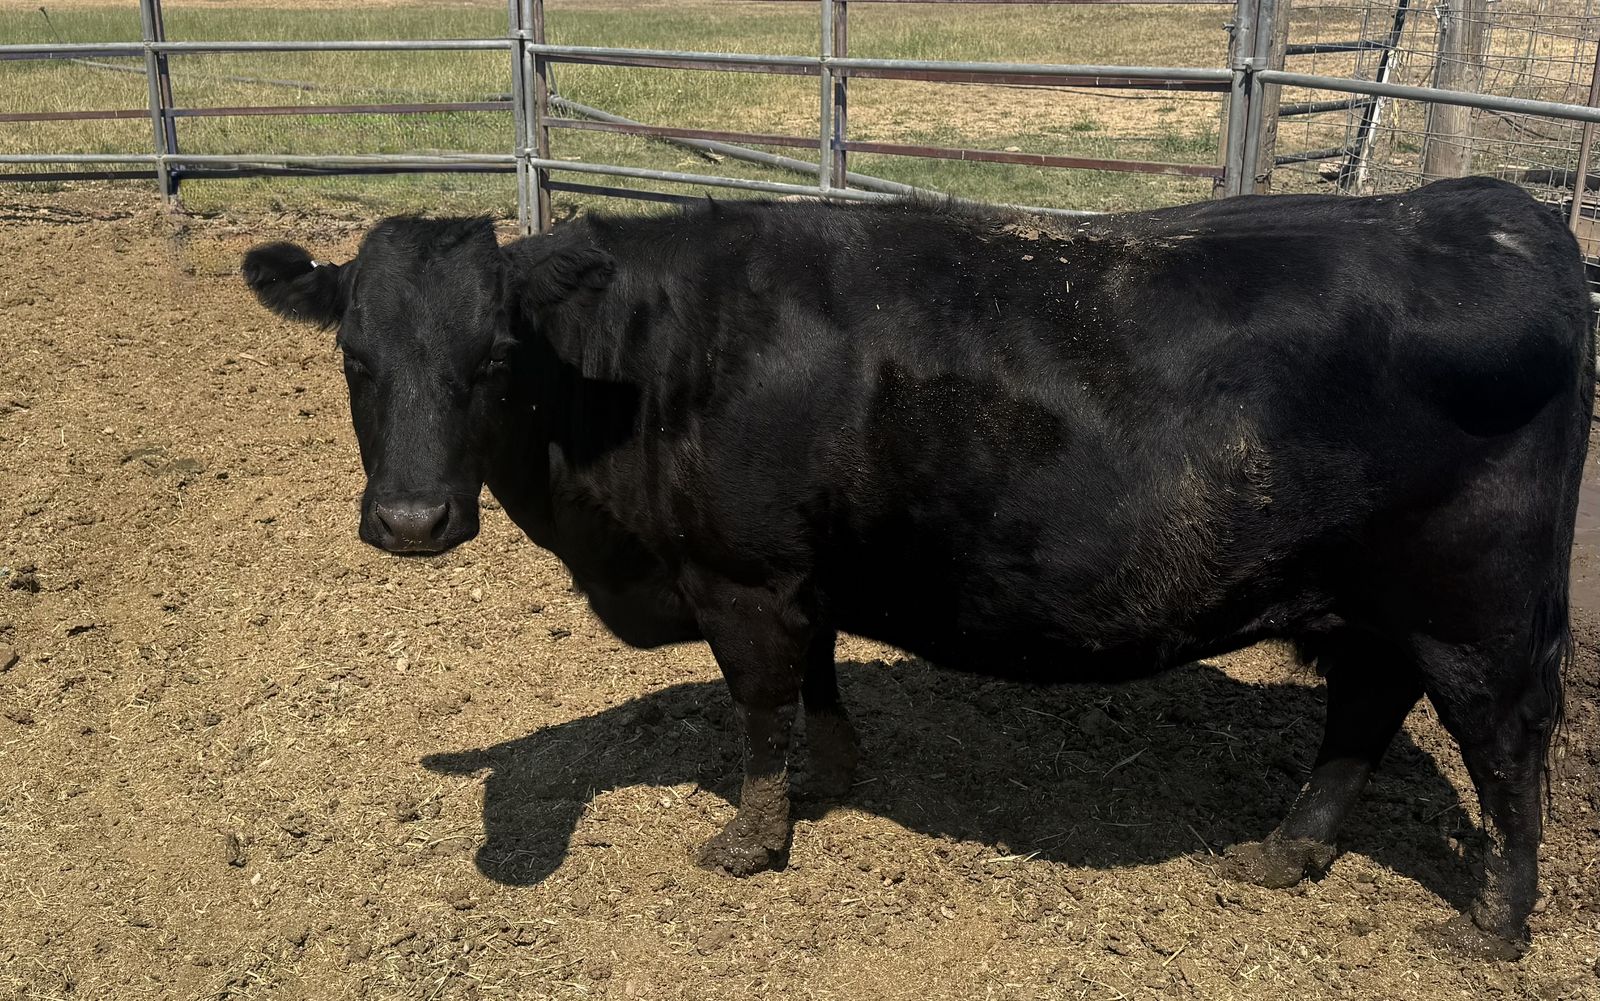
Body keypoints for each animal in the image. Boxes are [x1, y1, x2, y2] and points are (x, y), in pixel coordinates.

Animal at [243, 176, 1592, 958]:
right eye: (355, 356)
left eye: (492, 355)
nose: (413, 518)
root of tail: (1502, 207)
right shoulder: (802, 575)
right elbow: (818, 679)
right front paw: (829, 777)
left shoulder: (743, 577)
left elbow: (758, 701)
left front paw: (751, 837)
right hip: (1371, 603)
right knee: (1363, 706)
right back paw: (1284, 850)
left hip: (1476, 611)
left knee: (1504, 746)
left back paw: (1494, 923)